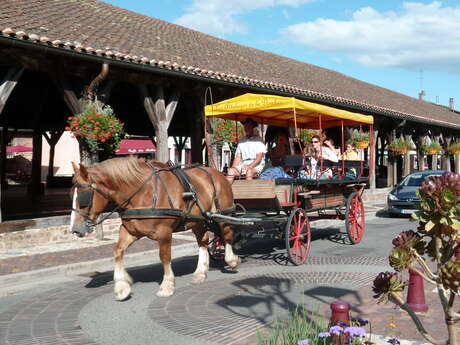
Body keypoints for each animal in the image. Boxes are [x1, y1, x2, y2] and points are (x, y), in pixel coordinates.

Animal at [72, 155, 241, 300]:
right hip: (197, 221)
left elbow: (164, 257)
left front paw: (166, 285)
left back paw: (232, 260)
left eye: (84, 196)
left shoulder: (164, 232)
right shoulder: (130, 231)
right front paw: (122, 286)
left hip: (223, 215)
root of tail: (219, 174)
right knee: (203, 241)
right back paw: (200, 272)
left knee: (227, 236)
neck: (143, 192)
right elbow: (118, 252)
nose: (75, 229)